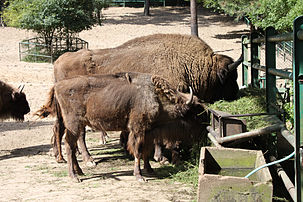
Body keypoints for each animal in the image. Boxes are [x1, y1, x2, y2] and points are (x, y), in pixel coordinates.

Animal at [36, 33, 243, 166]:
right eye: (229, 76)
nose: (236, 93)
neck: (189, 64)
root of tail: (59, 60)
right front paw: (163, 158)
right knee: (78, 134)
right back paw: (88, 160)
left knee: (60, 129)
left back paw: (60, 157)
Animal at [42, 72, 207, 181]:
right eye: (194, 113)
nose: (203, 131)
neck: (155, 97)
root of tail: (57, 86)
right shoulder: (137, 130)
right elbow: (138, 151)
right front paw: (139, 176)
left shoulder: (147, 132)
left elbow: (145, 151)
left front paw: (150, 170)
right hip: (74, 125)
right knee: (69, 145)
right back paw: (75, 176)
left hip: (74, 125)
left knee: (71, 144)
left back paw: (80, 171)